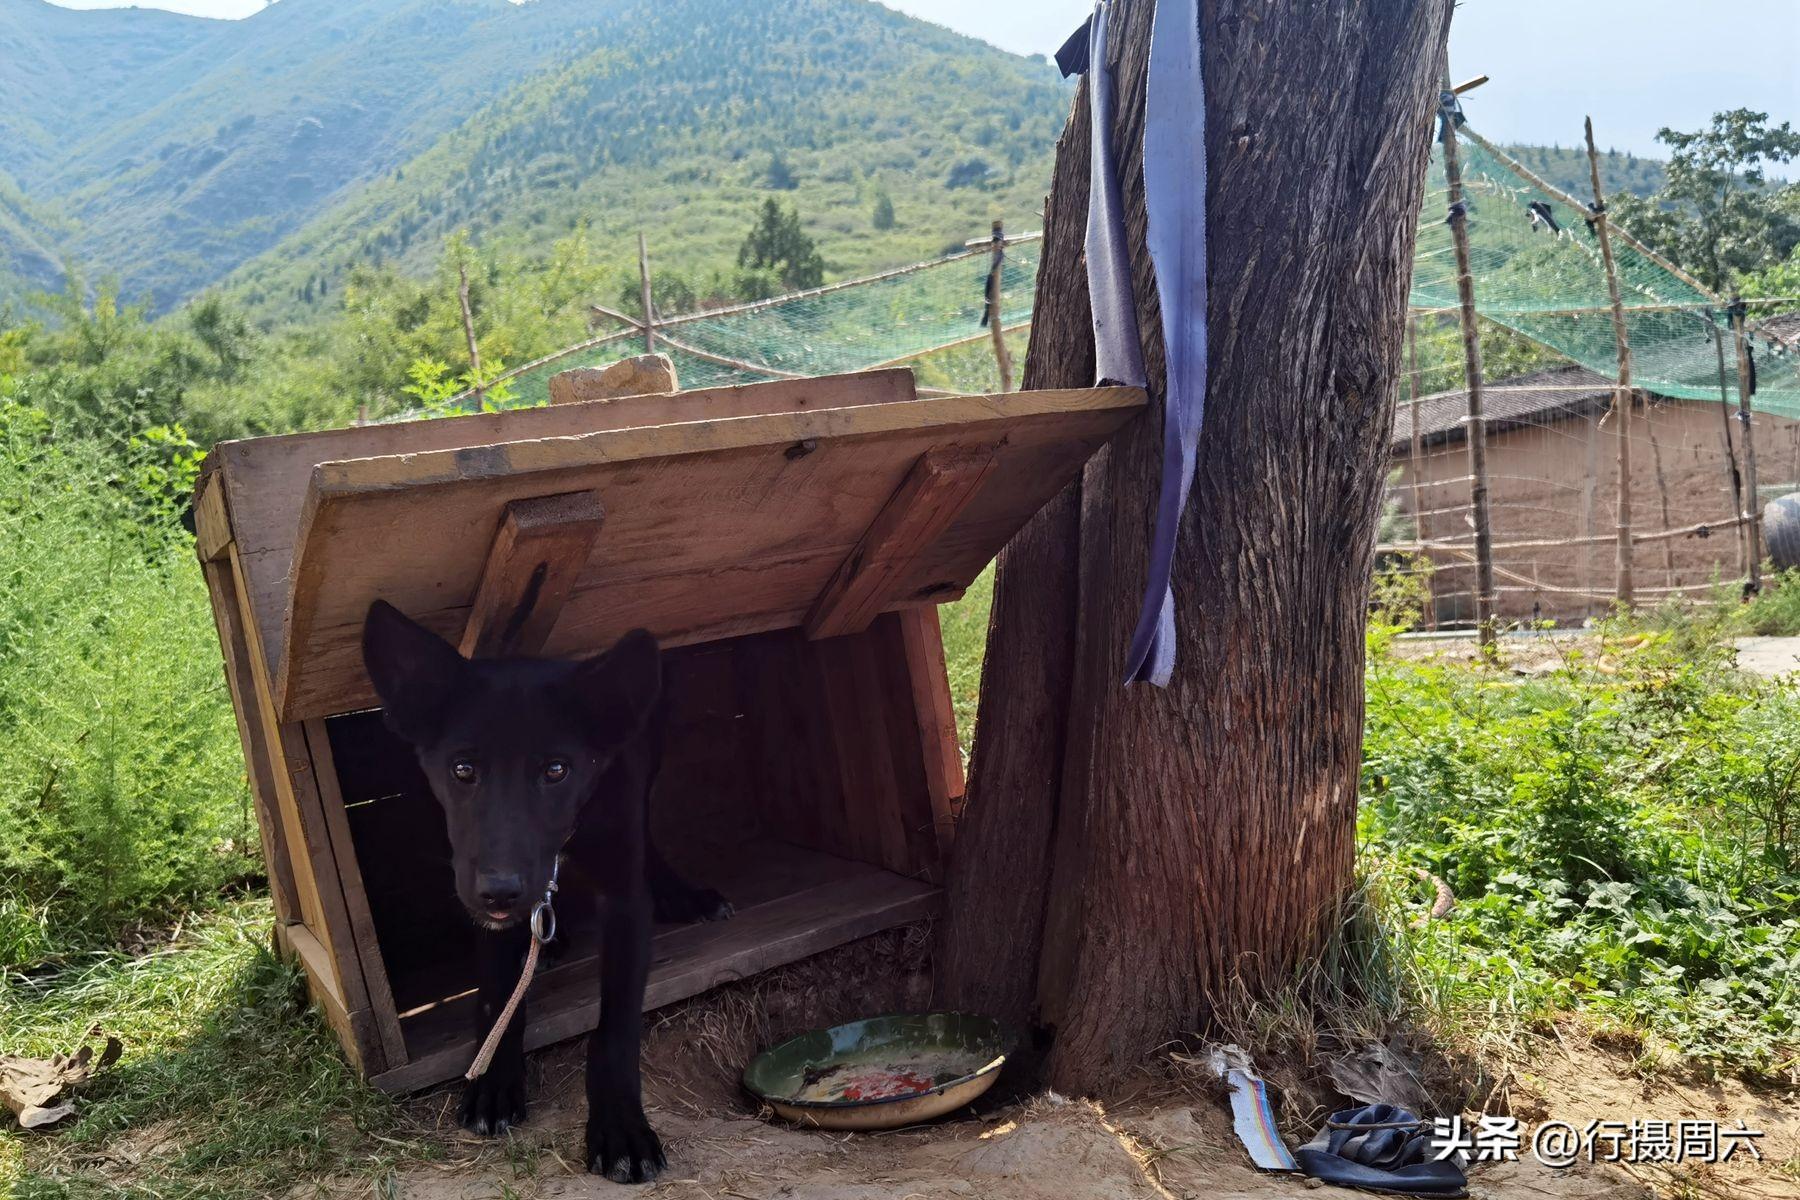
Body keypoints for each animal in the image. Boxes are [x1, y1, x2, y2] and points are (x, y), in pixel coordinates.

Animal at [361, 600, 727, 1180]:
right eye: (462, 769)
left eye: (557, 770)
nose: (501, 891)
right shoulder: (478, 889)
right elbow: (497, 992)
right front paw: (494, 1079)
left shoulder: (623, 894)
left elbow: (615, 1028)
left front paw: (621, 1126)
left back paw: (678, 892)